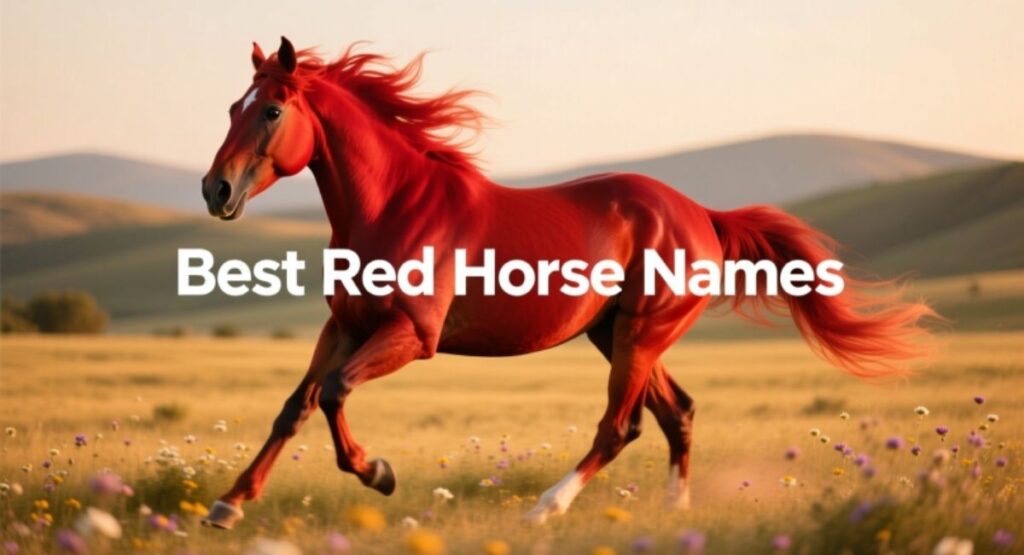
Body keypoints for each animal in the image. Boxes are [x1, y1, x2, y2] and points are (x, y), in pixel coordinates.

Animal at [199, 37, 934, 529]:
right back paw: (673, 511)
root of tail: (704, 215)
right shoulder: (345, 324)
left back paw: (545, 510)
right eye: (232, 105)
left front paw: (378, 473)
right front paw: (227, 505)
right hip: (617, 334)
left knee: (620, 425)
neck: (394, 206)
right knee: (677, 412)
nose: (215, 190)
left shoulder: (410, 334)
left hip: (641, 333)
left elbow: (333, 392)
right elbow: (295, 405)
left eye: (270, 111)